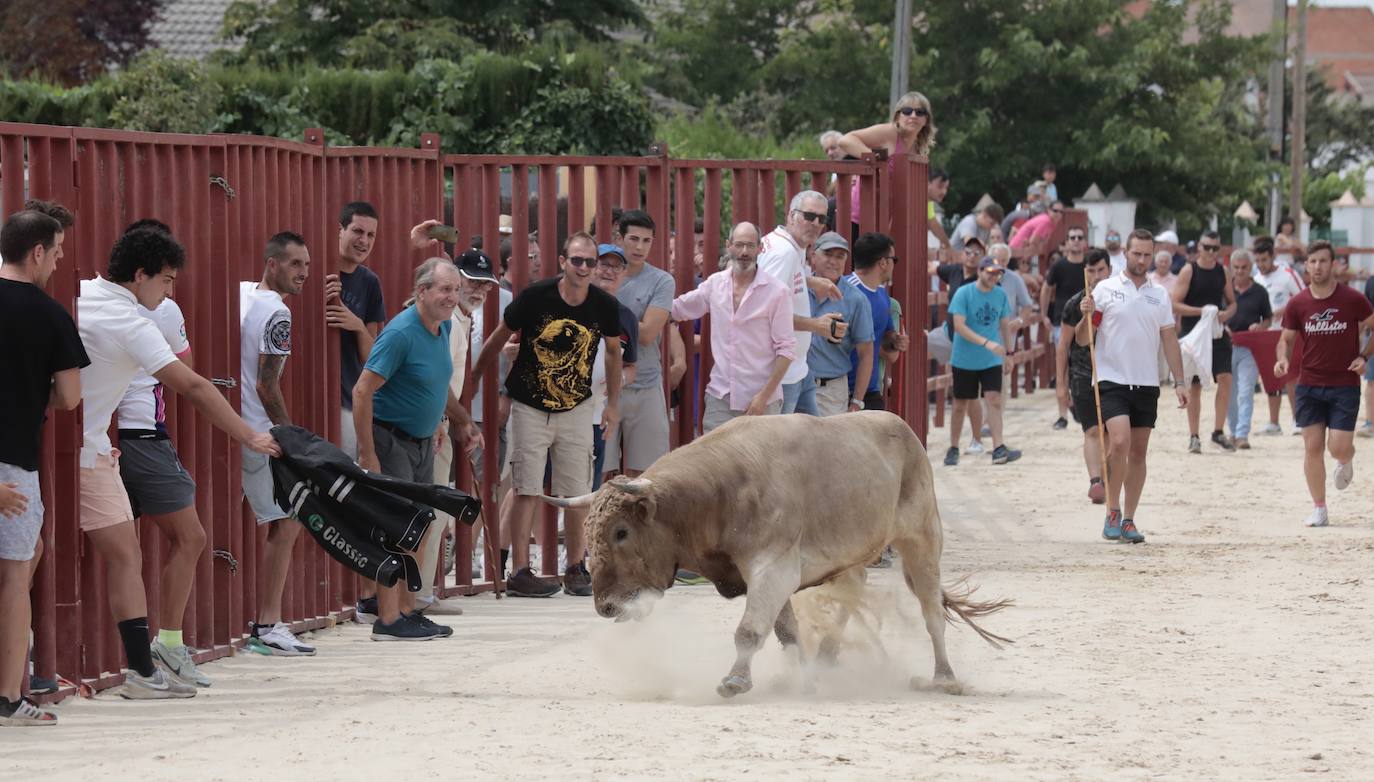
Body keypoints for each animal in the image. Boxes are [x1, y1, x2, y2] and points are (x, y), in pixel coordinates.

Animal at [544, 409, 1011, 695]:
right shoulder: (777, 576)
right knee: (853, 591)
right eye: (588, 531)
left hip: (922, 541)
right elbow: (786, 631)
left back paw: (944, 678)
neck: (718, 491)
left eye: (621, 531)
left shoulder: (773, 569)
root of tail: (904, 429)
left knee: (932, 613)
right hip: (854, 553)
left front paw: (736, 681)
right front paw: (802, 679)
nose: (604, 605)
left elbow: (750, 630)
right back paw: (828, 657)